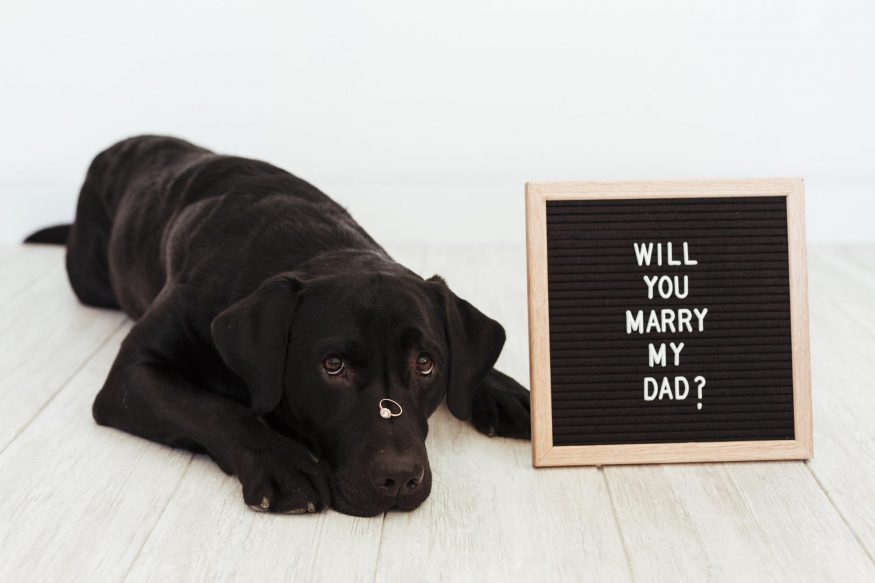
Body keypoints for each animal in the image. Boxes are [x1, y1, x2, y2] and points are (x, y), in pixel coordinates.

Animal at [27, 136, 532, 516]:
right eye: (333, 365)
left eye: (426, 363)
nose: (400, 477)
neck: (312, 246)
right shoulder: (133, 374)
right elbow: (211, 407)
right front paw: (281, 463)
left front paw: (509, 393)